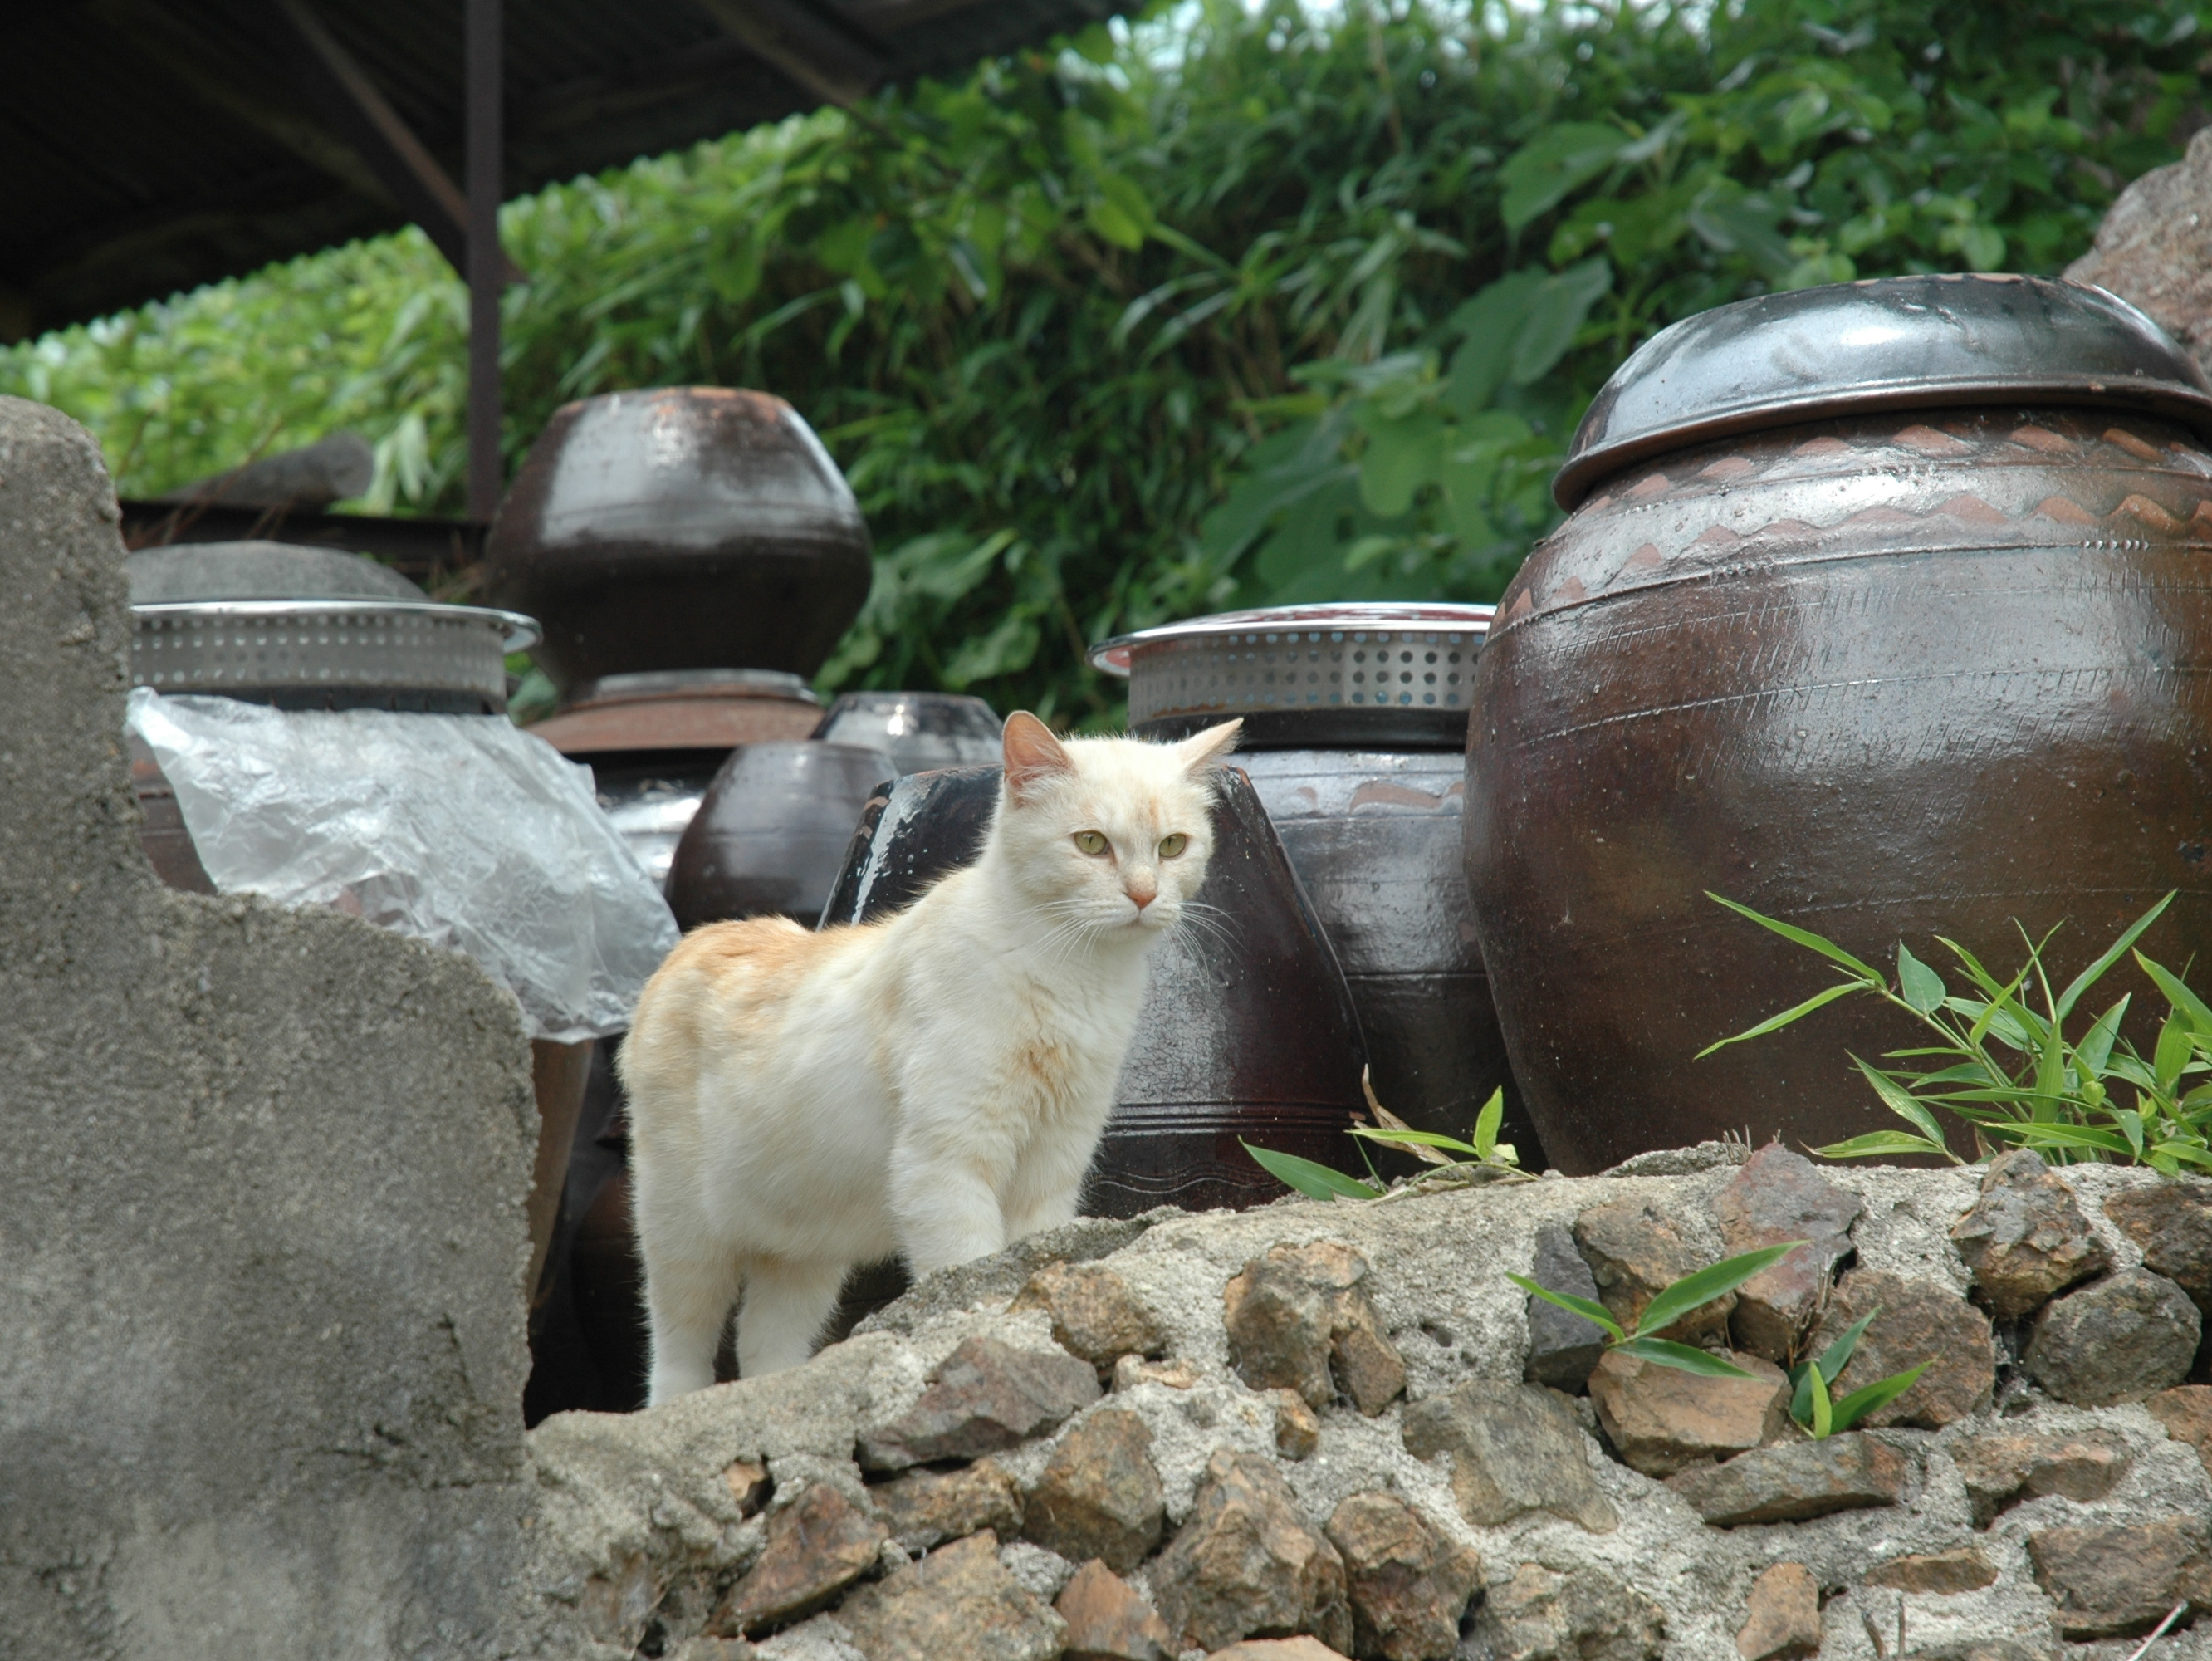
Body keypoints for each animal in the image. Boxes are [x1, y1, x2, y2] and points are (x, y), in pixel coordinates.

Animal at [618, 710, 1241, 1404]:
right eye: (1091, 844)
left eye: (1172, 847)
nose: (1142, 895)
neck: (1073, 974)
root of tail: (700, 936)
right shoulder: (947, 1164)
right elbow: (968, 1268)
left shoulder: (1052, 1169)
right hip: (683, 1235)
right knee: (678, 1354)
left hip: (803, 1254)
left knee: (765, 1345)